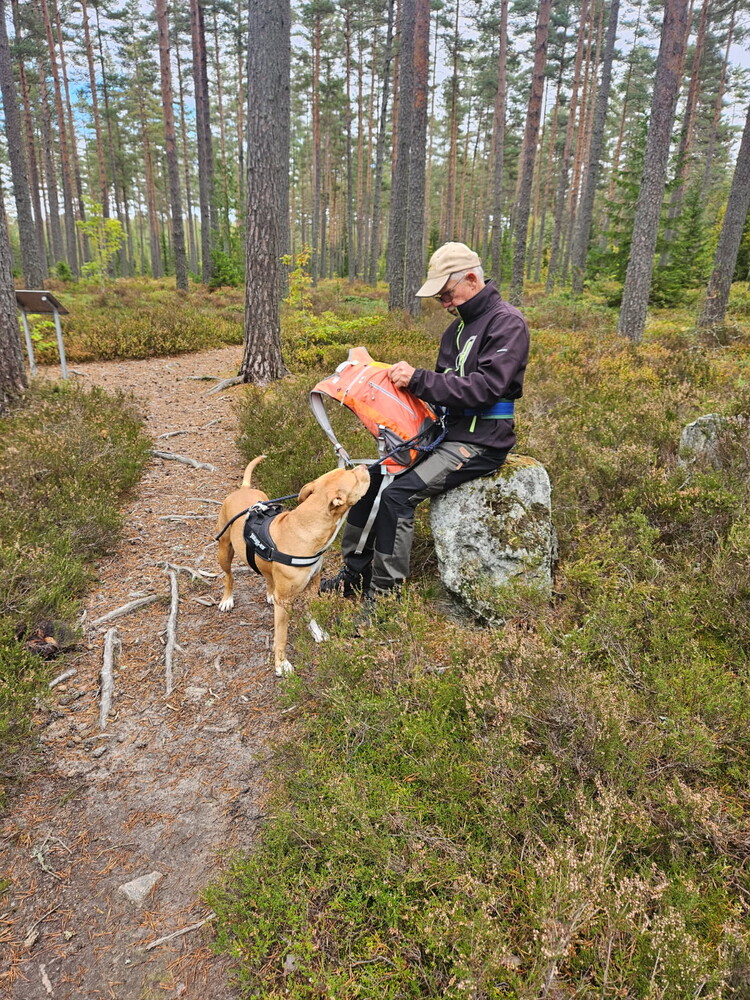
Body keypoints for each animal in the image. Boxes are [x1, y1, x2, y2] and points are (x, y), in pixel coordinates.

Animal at [216, 456, 370, 676]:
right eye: (355, 478)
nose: (364, 466)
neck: (305, 527)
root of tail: (243, 488)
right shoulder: (285, 602)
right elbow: (281, 636)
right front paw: (281, 664)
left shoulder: (313, 585)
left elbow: (311, 613)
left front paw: (317, 632)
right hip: (224, 550)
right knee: (229, 576)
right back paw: (227, 599)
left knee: (267, 576)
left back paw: (270, 593)